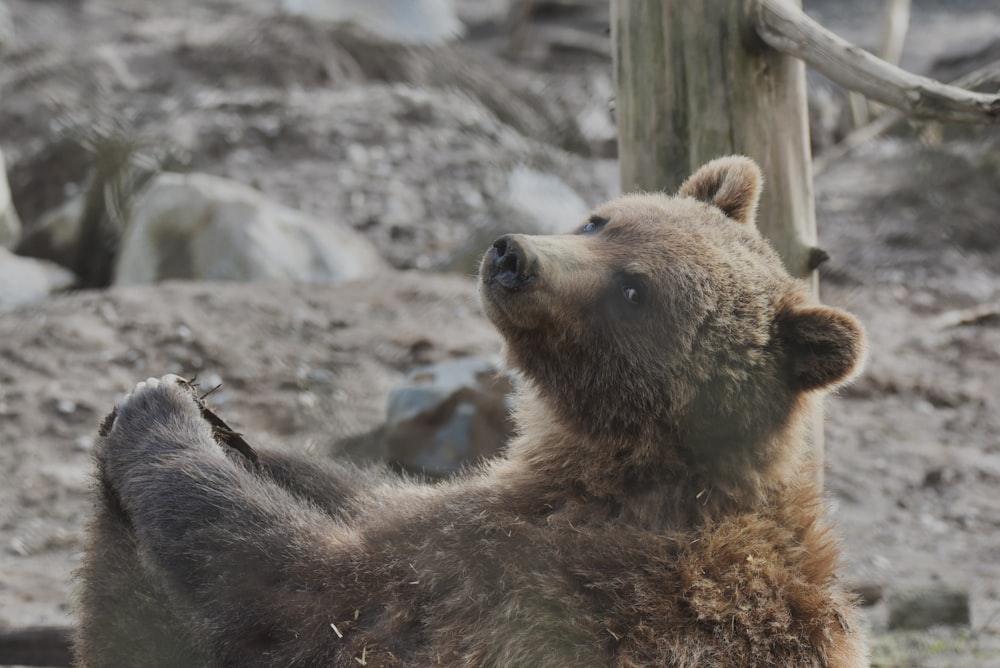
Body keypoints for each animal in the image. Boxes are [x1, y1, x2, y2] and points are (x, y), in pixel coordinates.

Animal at [74, 158, 868, 668]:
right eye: (599, 219)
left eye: (634, 290)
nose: (513, 255)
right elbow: (359, 492)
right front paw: (232, 432)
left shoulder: (527, 573)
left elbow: (300, 579)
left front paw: (158, 411)